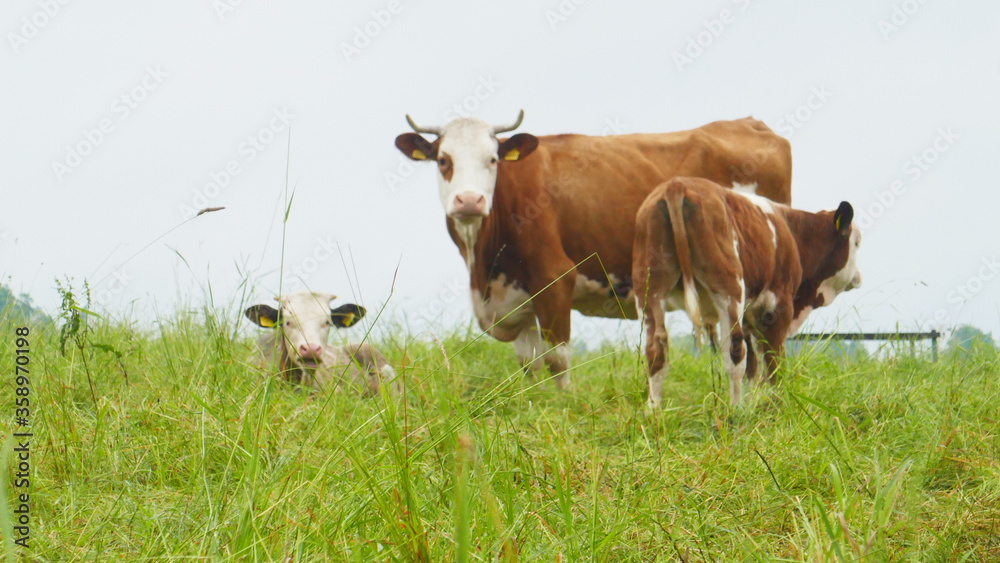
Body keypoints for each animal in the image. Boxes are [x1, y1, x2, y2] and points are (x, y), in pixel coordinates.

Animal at [394, 112, 792, 390]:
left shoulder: (554, 279)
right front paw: (532, 404)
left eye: (492, 159)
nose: (469, 200)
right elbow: (529, 364)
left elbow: (558, 360)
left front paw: (563, 405)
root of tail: (749, 123)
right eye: (443, 160)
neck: (484, 269)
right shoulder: (517, 298)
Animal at [632, 178, 860, 408]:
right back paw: (735, 409)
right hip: (729, 289)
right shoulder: (777, 305)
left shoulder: (751, 315)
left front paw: (753, 402)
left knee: (656, 350)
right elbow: (773, 359)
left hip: (649, 291)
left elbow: (753, 365)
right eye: (857, 243)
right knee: (734, 351)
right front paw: (778, 401)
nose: (858, 277)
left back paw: (654, 409)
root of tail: (677, 185)